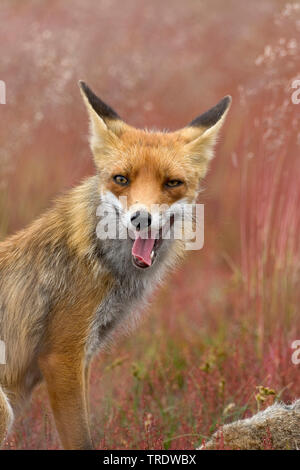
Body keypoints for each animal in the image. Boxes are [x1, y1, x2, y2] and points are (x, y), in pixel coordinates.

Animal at [0, 82, 232, 450]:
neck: (101, 261)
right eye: (121, 179)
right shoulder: (62, 357)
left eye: (172, 183)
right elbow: (81, 440)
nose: (141, 218)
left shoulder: (82, 358)